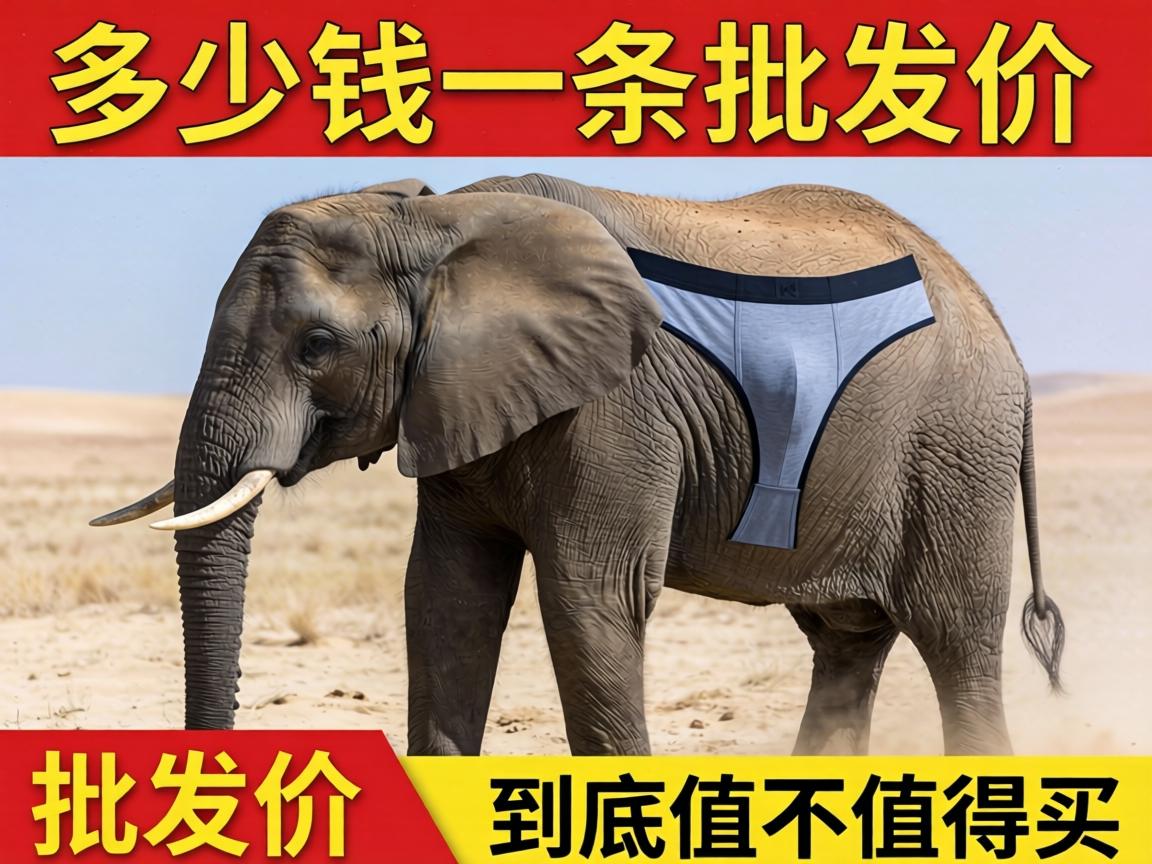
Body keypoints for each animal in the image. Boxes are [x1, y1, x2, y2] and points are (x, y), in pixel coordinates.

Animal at [92, 173, 1064, 755]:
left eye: (317, 346)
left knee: (957, 644)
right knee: (847, 646)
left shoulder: (615, 405)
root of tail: (1002, 331)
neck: (435, 219)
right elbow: (446, 594)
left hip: (953, 452)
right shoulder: (454, 398)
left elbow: (588, 594)